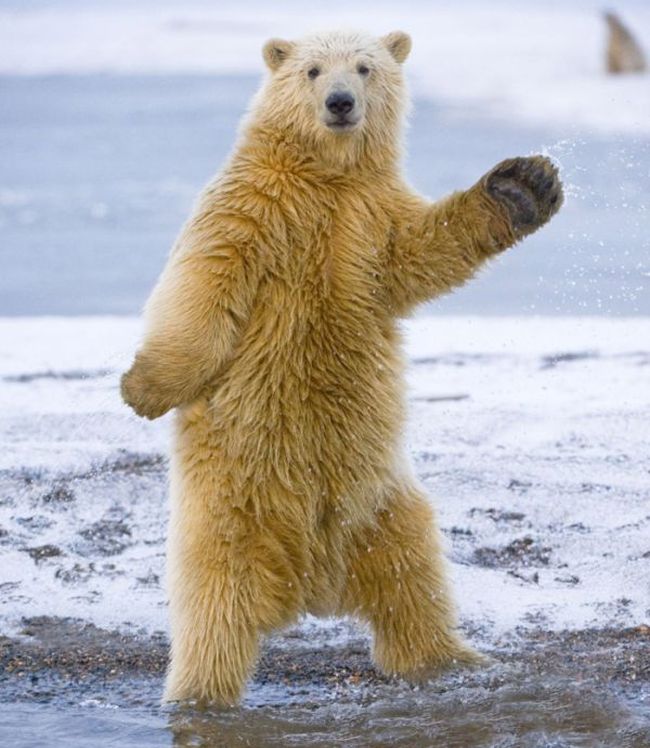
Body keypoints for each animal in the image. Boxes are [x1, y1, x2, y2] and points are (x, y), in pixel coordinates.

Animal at [120, 30, 560, 708]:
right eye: (311, 69)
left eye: (365, 66)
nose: (341, 102)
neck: (326, 176)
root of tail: (312, 584)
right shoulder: (254, 206)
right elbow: (205, 283)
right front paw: (142, 388)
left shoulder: (371, 218)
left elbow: (421, 251)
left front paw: (523, 186)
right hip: (233, 502)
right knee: (214, 601)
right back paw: (200, 693)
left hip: (380, 504)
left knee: (415, 575)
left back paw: (450, 660)